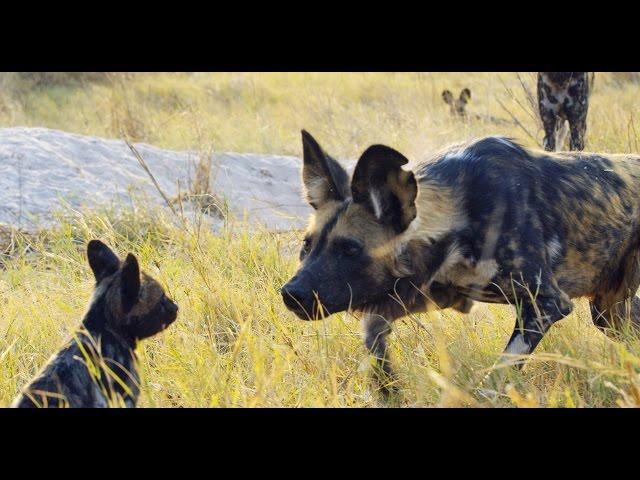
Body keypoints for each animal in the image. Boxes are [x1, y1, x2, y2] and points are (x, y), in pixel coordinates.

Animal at [282, 130, 640, 394]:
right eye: (307, 246)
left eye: (350, 249)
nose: (291, 294)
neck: (461, 213)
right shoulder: (426, 292)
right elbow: (374, 341)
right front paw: (388, 391)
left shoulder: (545, 303)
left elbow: (498, 375)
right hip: (609, 313)